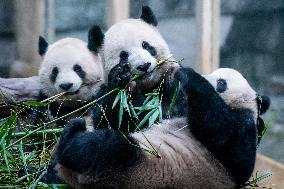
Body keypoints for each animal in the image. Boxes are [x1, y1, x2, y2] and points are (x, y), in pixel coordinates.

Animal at [52, 67, 270, 188]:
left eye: (222, 82)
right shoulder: (171, 110)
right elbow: (131, 118)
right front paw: (120, 79)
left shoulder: (242, 127)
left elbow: (223, 135)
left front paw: (188, 75)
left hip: (132, 169)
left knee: (108, 148)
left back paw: (71, 136)